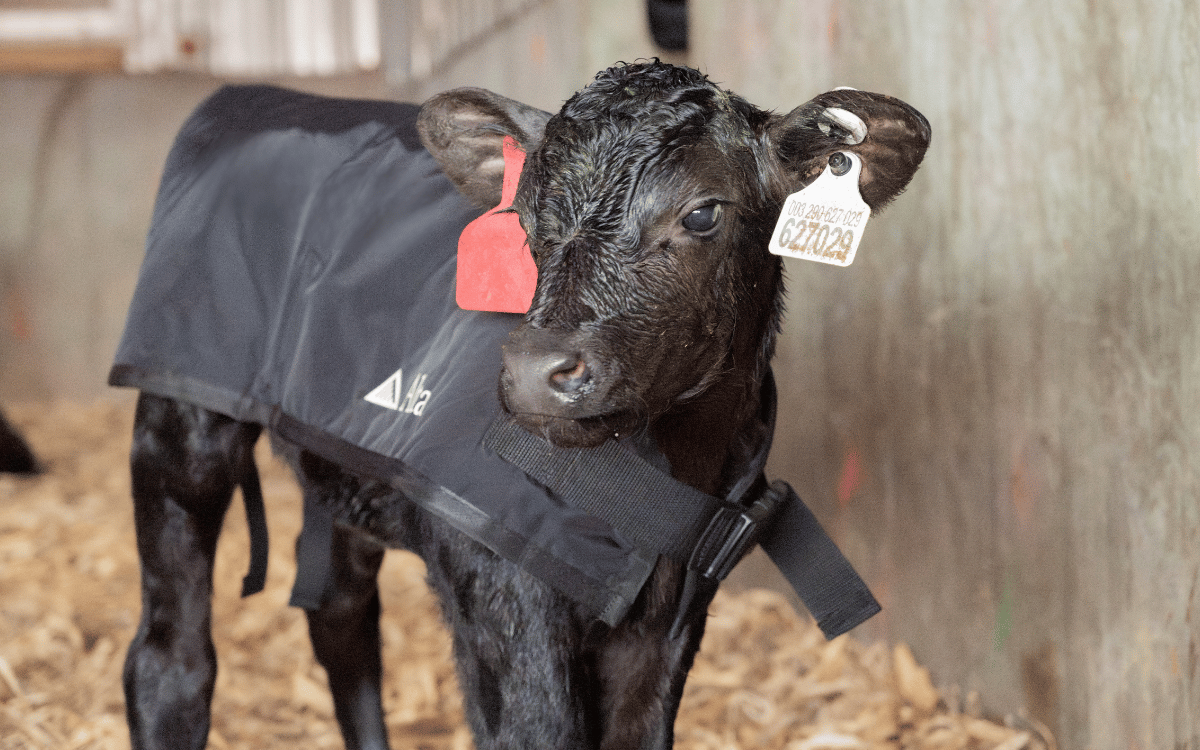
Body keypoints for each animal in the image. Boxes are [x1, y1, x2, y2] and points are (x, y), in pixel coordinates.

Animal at [115, 61, 929, 750]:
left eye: (703, 214)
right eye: (526, 220)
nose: (538, 369)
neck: (671, 466)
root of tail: (252, 95)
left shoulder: (673, 615)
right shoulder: (500, 586)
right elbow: (539, 732)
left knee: (340, 612)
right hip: (180, 413)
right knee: (170, 656)